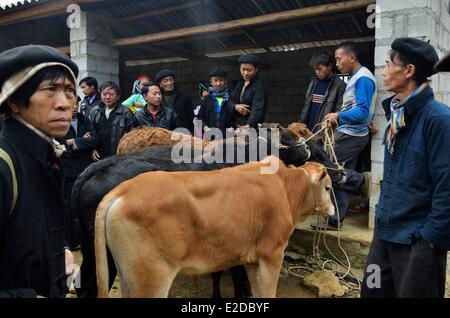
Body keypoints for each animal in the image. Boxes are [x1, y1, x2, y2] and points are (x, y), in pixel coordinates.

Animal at [95, 157, 334, 298]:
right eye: (328, 188)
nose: (332, 209)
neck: (285, 188)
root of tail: (125, 189)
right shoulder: (273, 254)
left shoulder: (252, 260)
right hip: (152, 278)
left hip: (128, 276)